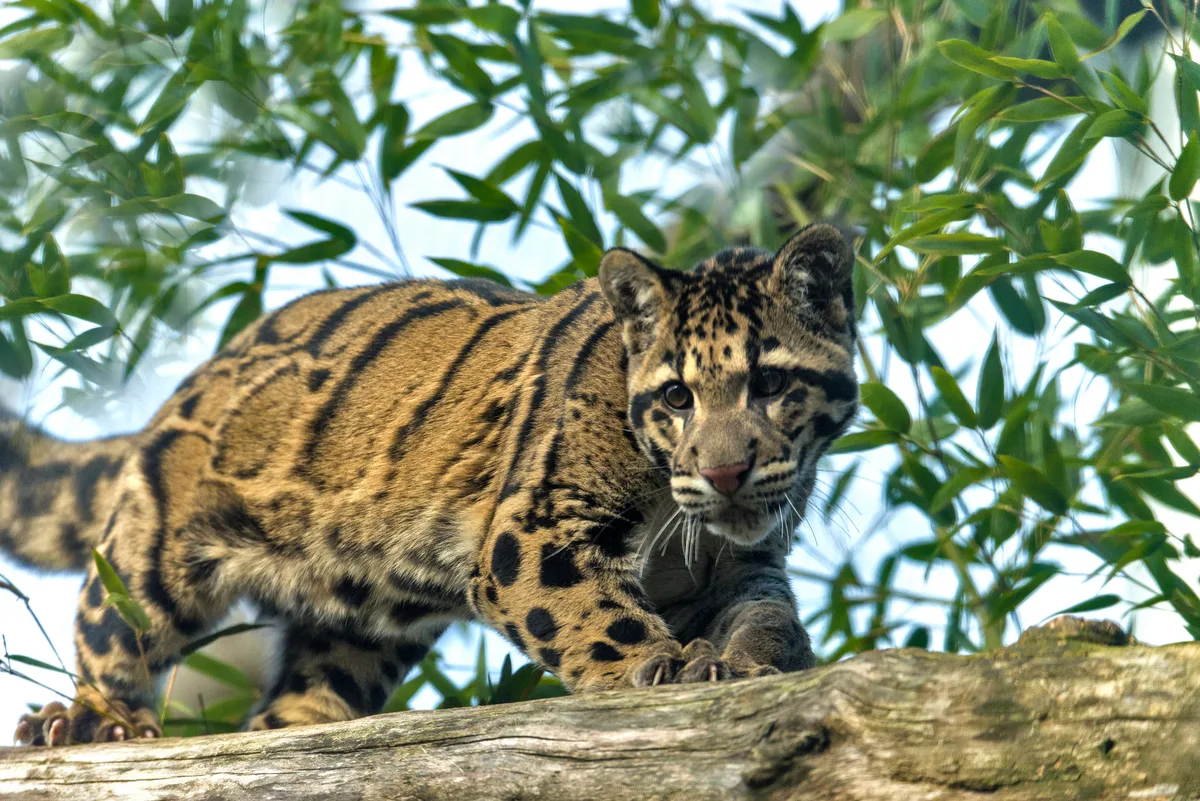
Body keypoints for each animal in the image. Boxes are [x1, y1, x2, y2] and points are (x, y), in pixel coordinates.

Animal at [0, 223, 859, 745]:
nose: (724, 471)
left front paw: (760, 662)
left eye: (770, 383)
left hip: (356, 627)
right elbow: (599, 618)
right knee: (109, 628)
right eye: (678, 396)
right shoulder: (533, 534)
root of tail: (193, 380)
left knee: (296, 698)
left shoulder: (739, 565)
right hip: (153, 546)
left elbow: (766, 615)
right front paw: (667, 664)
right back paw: (86, 723)